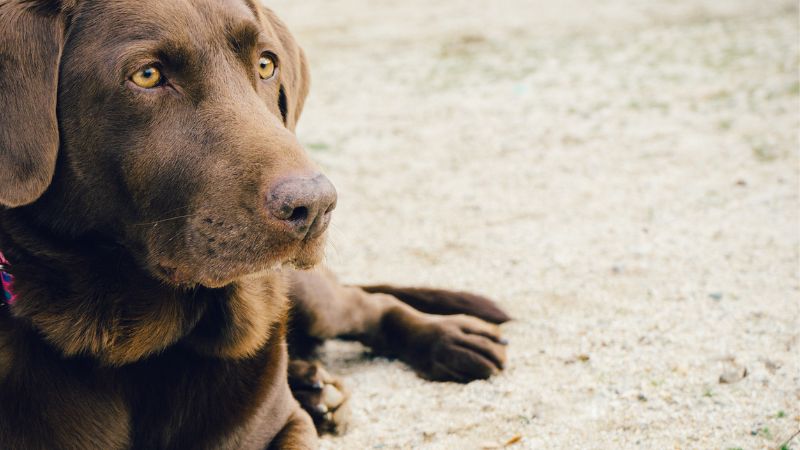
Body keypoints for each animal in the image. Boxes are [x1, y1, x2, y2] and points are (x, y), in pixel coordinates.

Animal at [0, 1, 510, 448]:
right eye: (147, 75)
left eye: (266, 65)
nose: (315, 205)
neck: (136, 347)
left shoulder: (284, 426)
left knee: (368, 303)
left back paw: (449, 339)